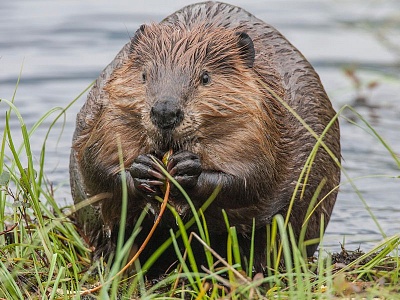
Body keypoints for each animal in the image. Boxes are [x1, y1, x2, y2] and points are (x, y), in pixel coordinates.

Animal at [69, 0, 340, 276]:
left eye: (205, 77)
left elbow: (254, 176)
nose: (165, 111)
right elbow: (96, 165)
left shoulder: (262, 121)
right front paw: (143, 168)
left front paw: (188, 168)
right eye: (144, 75)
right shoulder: (108, 114)